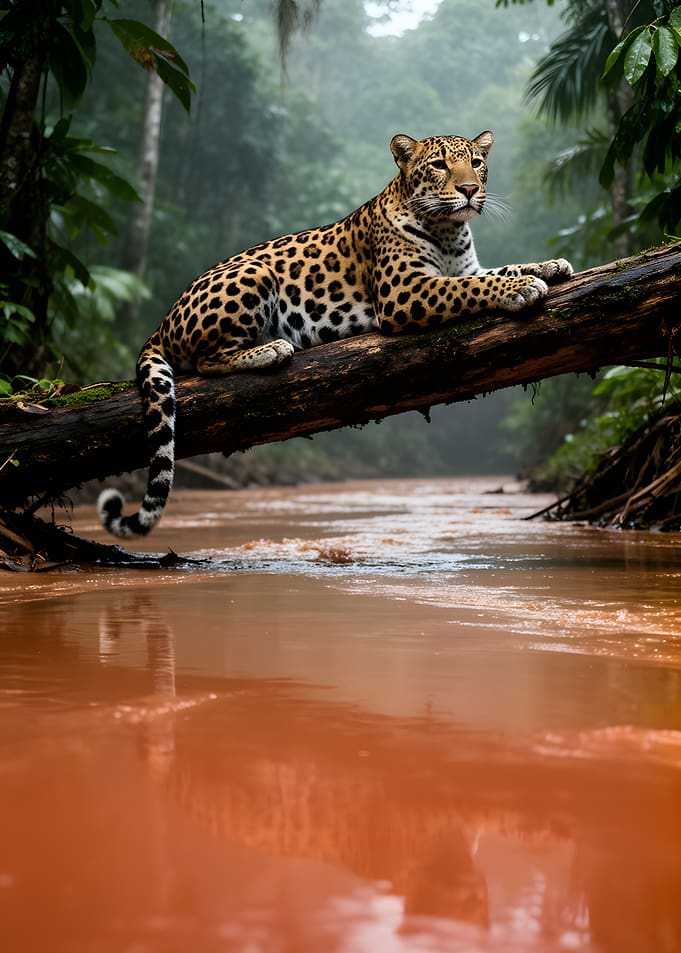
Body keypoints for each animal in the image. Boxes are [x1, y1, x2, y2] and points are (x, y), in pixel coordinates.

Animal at [98, 129, 573, 538]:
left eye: (476, 163)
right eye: (439, 165)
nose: (471, 189)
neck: (450, 230)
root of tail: (162, 322)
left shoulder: (463, 267)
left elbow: (494, 270)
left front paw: (549, 265)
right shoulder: (406, 292)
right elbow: (474, 287)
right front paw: (521, 288)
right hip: (254, 272)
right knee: (204, 361)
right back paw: (271, 348)